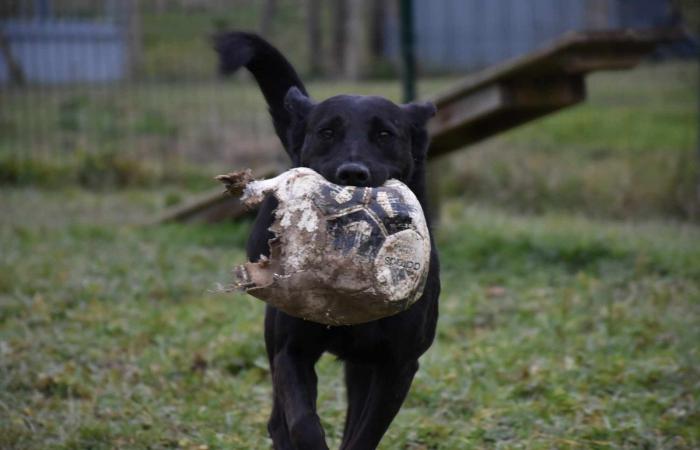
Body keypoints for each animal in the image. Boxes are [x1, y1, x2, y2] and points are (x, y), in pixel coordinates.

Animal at [216, 32, 440, 450]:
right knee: (277, 419)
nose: (352, 173)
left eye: (384, 134)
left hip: (361, 366)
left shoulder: (396, 365)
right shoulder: (292, 351)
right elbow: (302, 420)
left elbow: (364, 433)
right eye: (327, 132)